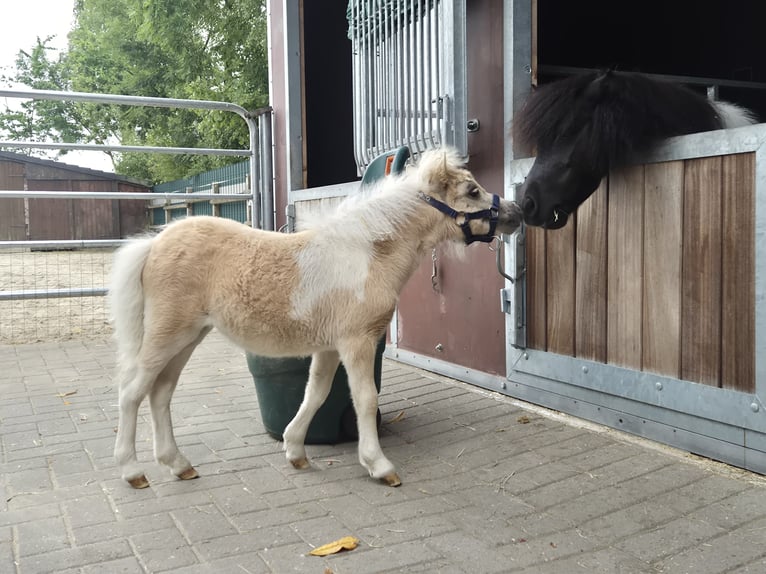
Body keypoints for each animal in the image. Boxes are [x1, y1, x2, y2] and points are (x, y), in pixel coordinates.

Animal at [110, 147, 522, 489]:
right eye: (471, 191)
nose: (516, 214)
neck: (367, 253)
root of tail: (155, 243)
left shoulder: (328, 347)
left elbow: (316, 393)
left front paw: (295, 451)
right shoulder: (357, 342)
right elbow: (365, 399)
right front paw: (378, 465)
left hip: (188, 336)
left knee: (161, 393)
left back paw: (179, 464)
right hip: (167, 335)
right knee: (132, 392)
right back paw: (132, 471)